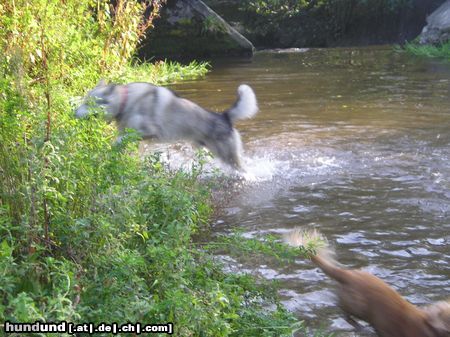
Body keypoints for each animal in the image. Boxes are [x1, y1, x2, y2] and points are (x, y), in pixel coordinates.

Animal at [75, 81, 258, 169]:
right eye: (83, 101)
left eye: (88, 103)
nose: (73, 113)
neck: (126, 102)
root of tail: (225, 116)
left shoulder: (149, 132)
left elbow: (119, 140)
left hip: (228, 158)